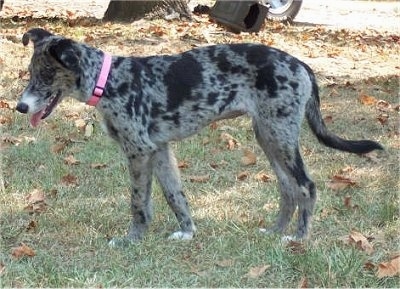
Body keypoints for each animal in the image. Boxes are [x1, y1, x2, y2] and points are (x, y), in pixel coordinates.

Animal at [15, 27, 382, 243]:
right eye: (32, 73)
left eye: (45, 75)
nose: (20, 106)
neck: (107, 80)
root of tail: (302, 65)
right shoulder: (159, 149)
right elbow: (175, 195)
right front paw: (187, 232)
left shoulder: (138, 150)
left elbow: (138, 203)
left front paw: (133, 239)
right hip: (267, 134)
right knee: (288, 187)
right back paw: (276, 231)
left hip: (279, 135)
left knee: (307, 186)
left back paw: (299, 238)